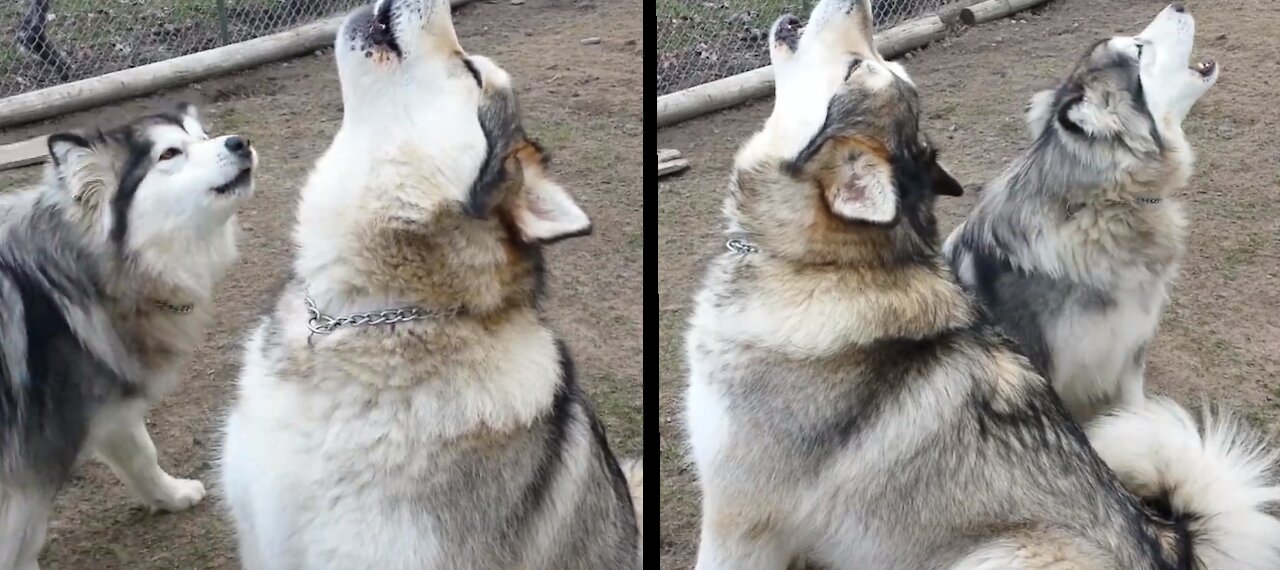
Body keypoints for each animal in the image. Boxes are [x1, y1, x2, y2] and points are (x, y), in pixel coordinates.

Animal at [0, 104, 257, 566]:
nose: (239, 141)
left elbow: (140, 452)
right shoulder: (28, 472)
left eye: (202, 135)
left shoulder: (105, 399)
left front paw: (171, 495)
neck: (78, 278)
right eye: (169, 153)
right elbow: (21, 544)